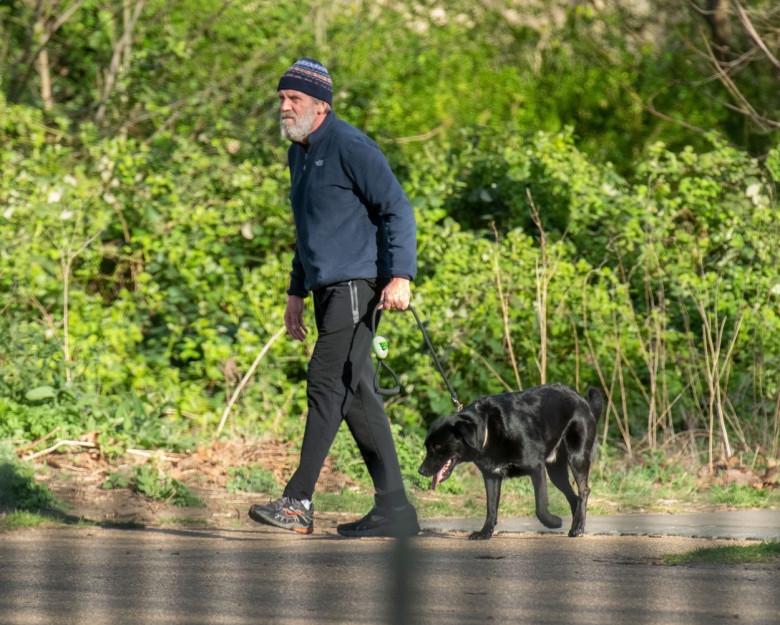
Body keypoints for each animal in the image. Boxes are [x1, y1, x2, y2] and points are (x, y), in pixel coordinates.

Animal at [420, 382, 604, 540]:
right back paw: (577, 525)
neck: (488, 430)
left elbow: (540, 507)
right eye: (427, 446)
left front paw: (553, 522)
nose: (420, 471)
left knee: (583, 491)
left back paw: (578, 528)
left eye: (437, 446)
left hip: (577, 458)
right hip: (556, 472)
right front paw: (485, 533)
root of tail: (583, 400)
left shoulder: (537, 468)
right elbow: (491, 508)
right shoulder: (491, 476)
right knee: (574, 497)